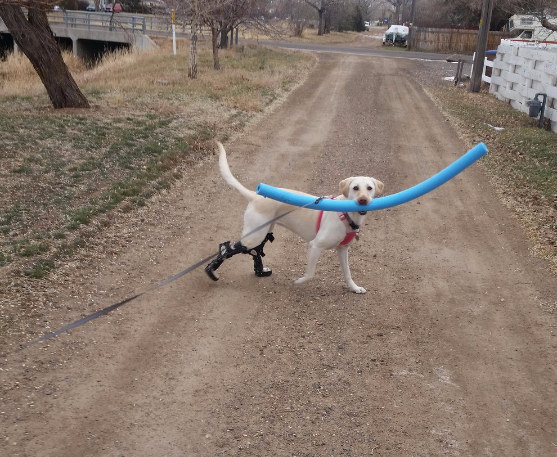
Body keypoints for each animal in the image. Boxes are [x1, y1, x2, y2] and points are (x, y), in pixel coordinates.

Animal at [206, 141, 384, 294]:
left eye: (369, 188)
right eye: (355, 188)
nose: (363, 200)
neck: (346, 214)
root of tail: (255, 196)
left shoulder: (342, 250)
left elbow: (347, 273)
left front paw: (354, 288)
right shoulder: (315, 245)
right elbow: (310, 274)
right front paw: (298, 281)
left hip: (264, 231)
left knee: (256, 250)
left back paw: (260, 271)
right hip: (254, 235)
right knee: (230, 247)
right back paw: (211, 269)